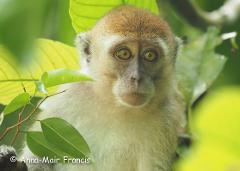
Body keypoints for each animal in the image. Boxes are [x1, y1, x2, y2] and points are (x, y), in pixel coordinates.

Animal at [0, 5, 184, 171]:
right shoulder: (67, 98)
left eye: (150, 55)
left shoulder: (168, 117)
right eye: (124, 54)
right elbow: (38, 159)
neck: (116, 108)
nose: (136, 78)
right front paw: (7, 163)